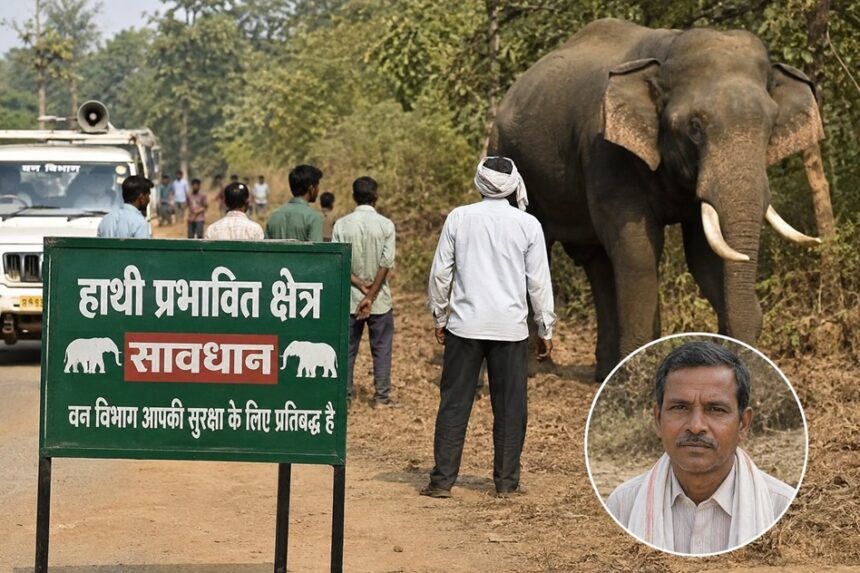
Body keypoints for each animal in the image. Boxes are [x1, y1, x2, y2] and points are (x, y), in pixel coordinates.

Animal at [490, 18, 829, 381]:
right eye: (695, 127)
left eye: (771, 124)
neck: (668, 50)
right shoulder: (607, 150)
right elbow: (638, 249)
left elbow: (702, 256)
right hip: (508, 155)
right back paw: (535, 371)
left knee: (598, 262)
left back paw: (603, 371)